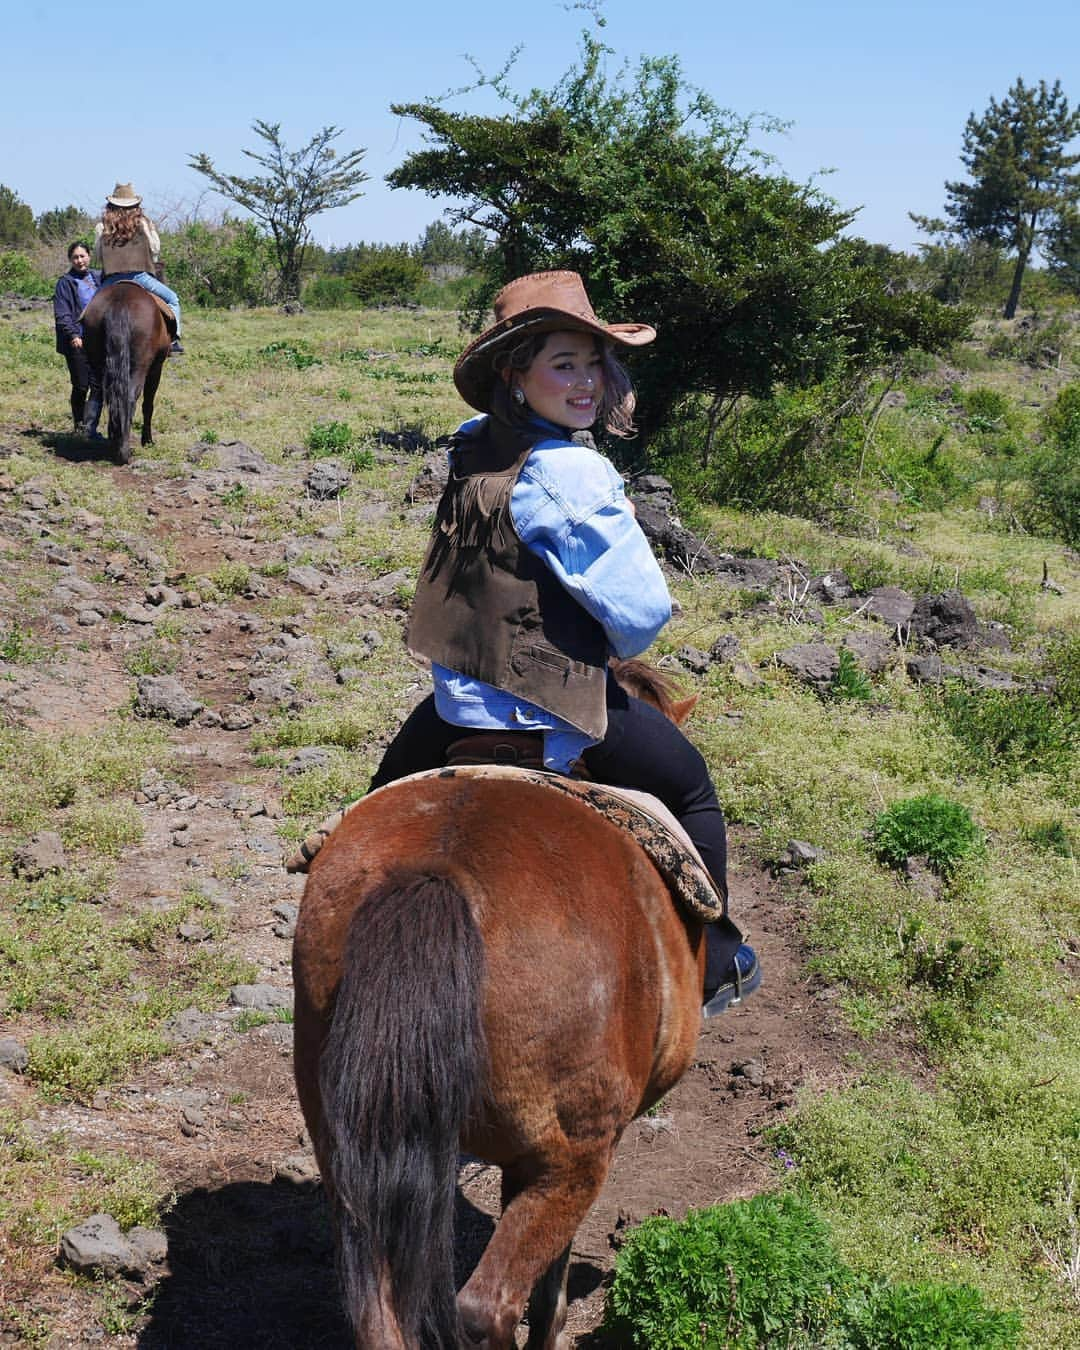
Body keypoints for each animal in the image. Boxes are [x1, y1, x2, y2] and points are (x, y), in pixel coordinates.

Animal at [82, 280, 172, 464]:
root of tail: (120, 301)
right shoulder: (156, 369)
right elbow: (148, 405)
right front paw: (148, 440)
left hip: (98, 364)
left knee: (106, 396)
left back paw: (114, 442)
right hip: (140, 367)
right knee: (130, 398)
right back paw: (123, 451)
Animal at [291, 666, 707, 1350]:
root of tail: (437, 873)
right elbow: (549, 1285)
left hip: (346, 1147)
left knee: (380, 1315)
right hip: (569, 1160)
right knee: (485, 1307)